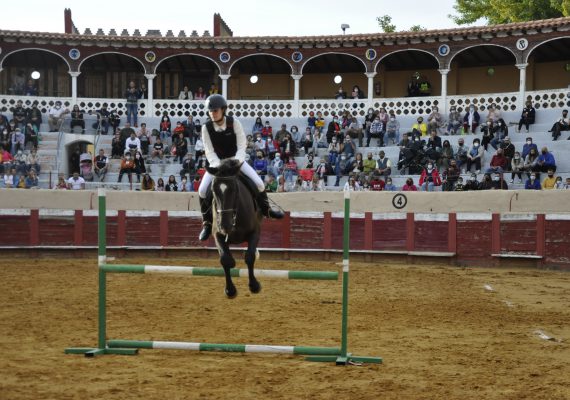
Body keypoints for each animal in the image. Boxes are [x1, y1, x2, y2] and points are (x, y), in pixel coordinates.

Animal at [204, 158, 262, 298]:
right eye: (213, 191)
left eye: (235, 189)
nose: (225, 225)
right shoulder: (217, 234)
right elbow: (225, 260)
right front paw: (230, 290)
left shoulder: (255, 231)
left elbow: (250, 257)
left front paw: (254, 285)